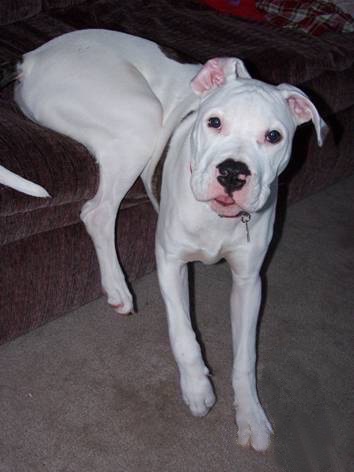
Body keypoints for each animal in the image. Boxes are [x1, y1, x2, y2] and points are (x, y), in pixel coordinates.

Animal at [0, 30, 326, 454]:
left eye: (274, 136)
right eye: (214, 122)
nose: (233, 172)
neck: (216, 219)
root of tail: (33, 55)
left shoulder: (249, 282)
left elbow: (245, 358)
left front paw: (251, 416)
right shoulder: (170, 260)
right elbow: (183, 331)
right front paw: (198, 386)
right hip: (140, 117)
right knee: (97, 212)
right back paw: (118, 287)